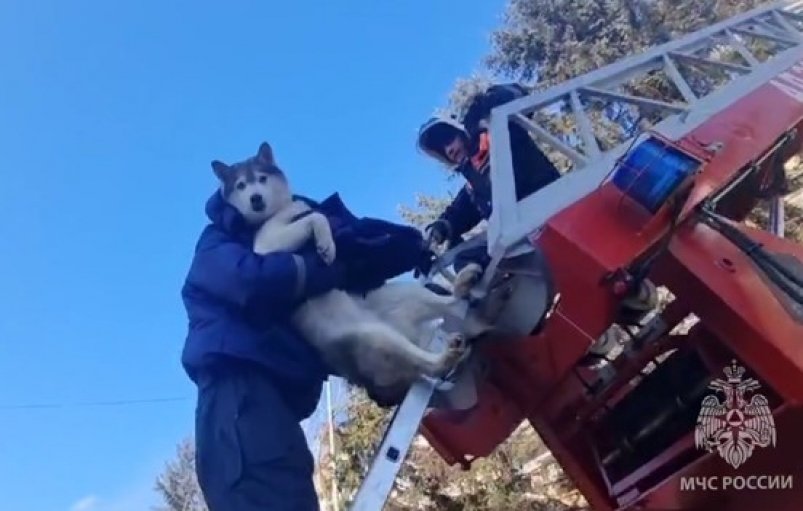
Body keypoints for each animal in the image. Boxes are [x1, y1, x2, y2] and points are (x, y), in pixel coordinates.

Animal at [209, 141, 484, 392]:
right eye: (241, 185)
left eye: (262, 178)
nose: (255, 198)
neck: (278, 214)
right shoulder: (266, 246)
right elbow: (317, 217)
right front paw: (327, 244)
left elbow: (317, 215)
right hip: (377, 337)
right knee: (428, 365)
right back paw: (444, 357)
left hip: (404, 296)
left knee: (448, 303)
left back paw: (463, 285)